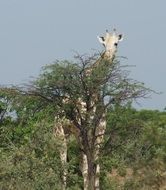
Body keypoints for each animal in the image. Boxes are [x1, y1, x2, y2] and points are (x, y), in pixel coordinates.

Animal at [53, 28, 123, 190]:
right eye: (103, 44)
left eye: (116, 43)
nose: (107, 57)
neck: (95, 89)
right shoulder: (82, 129)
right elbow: (85, 167)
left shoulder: (100, 129)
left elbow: (96, 166)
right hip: (60, 134)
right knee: (64, 164)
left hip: (70, 134)